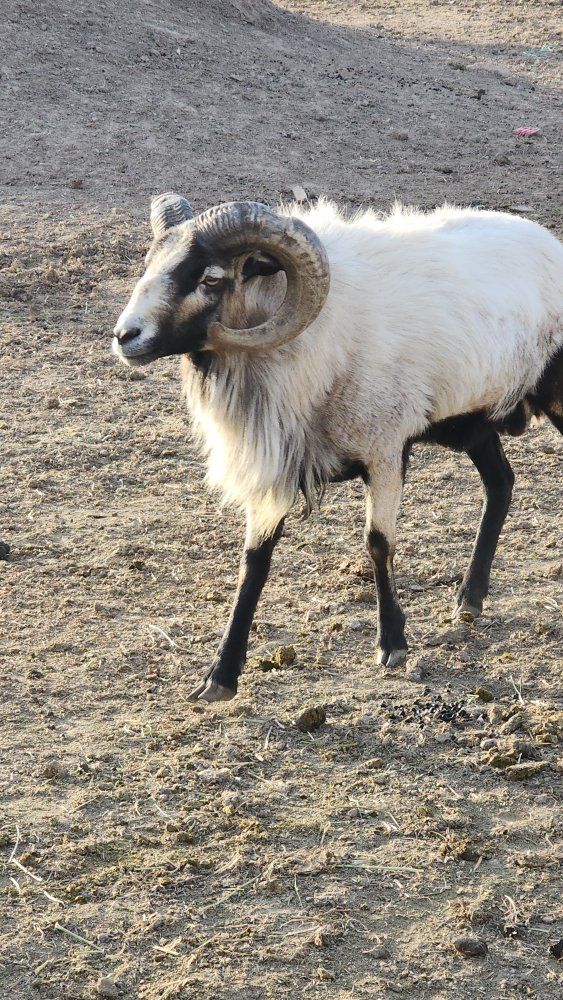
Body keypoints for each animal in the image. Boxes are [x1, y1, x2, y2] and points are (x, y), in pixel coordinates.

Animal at [113, 193, 563, 702]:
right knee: (501, 485)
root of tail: (547, 240)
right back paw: (469, 600)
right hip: (475, 421)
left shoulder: (385, 449)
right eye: (151, 262)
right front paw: (219, 676)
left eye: (211, 278)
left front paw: (392, 644)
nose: (125, 336)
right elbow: (254, 562)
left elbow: (378, 544)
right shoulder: (277, 468)